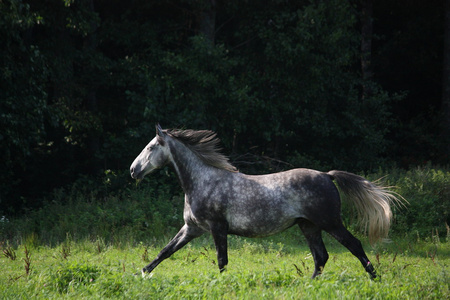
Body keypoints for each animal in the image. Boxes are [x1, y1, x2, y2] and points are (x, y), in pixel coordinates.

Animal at [130, 124, 404, 278]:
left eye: (151, 147)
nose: (133, 170)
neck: (203, 181)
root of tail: (327, 175)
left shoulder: (217, 228)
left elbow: (222, 260)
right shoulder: (192, 228)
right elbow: (165, 252)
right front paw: (140, 274)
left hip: (330, 223)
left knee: (354, 246)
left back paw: (375, 278)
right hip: (308, 226)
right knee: (321, 257)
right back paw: (309, 285)